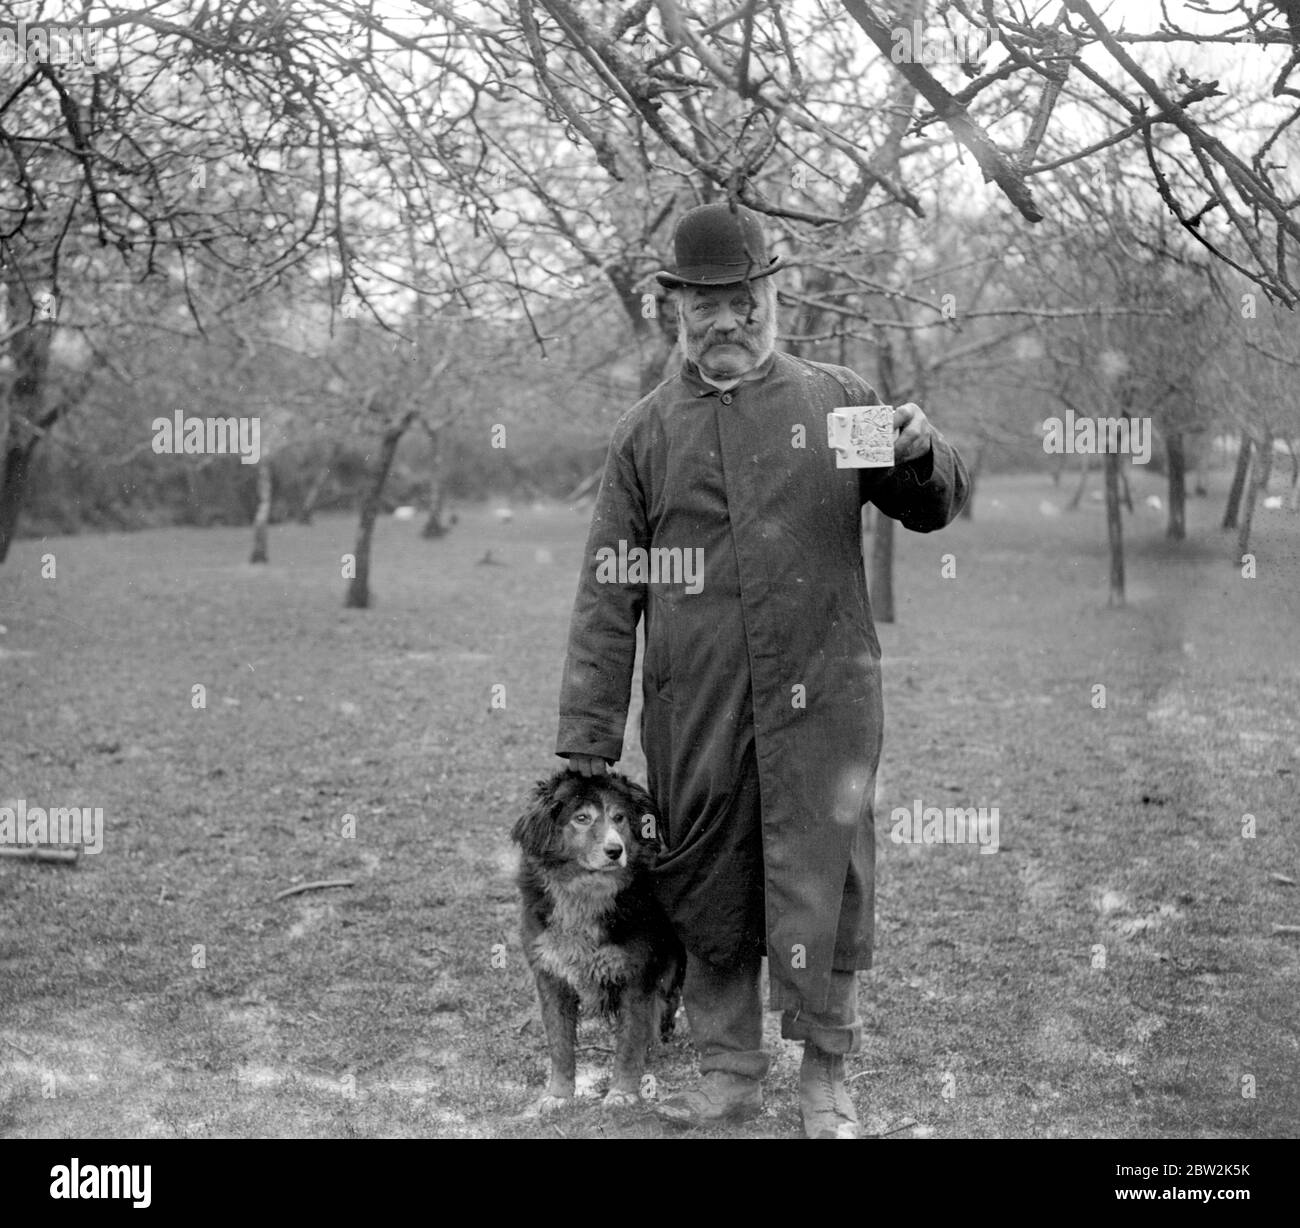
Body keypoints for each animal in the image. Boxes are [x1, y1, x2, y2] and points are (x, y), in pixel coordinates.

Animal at [512, 769, 686, 1112]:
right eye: (582, 818)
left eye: (619, 818)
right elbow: (560, 1045)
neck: (585, 892)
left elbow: (629, 1043)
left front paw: (622, 1092)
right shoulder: (550, 974)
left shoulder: (637, 974)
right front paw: (558, 1094)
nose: (615, 851)